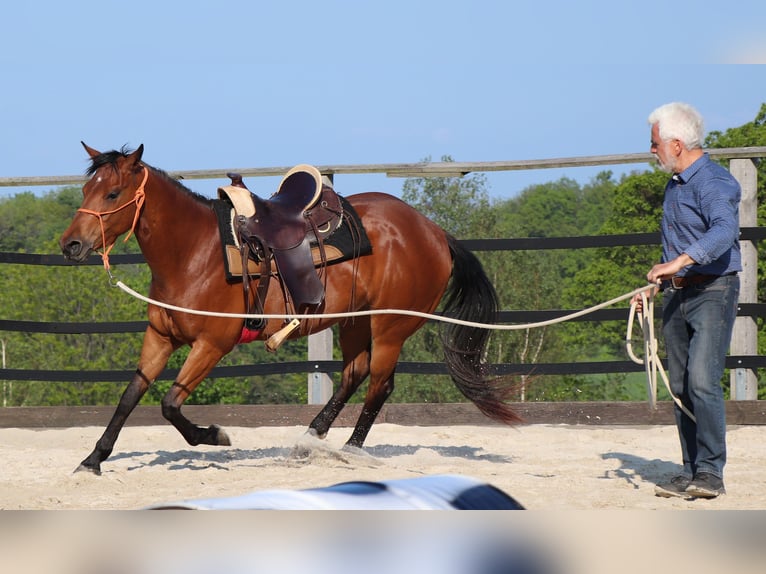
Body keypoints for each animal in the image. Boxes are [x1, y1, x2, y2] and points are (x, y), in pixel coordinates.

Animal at [59, 143, 521, 474]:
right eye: (85, 190)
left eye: (113, 193)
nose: (71, 245)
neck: (194, 253)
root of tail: (434, 231)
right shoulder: (160, 337)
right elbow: (130, 396)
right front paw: (94, 459)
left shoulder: (212, 344)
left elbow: (170, 403)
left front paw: (215, 435)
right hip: (354, 321)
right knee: (353, 375)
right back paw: (309, 441)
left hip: (390, 326)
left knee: (379, 384)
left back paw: (350, 451)